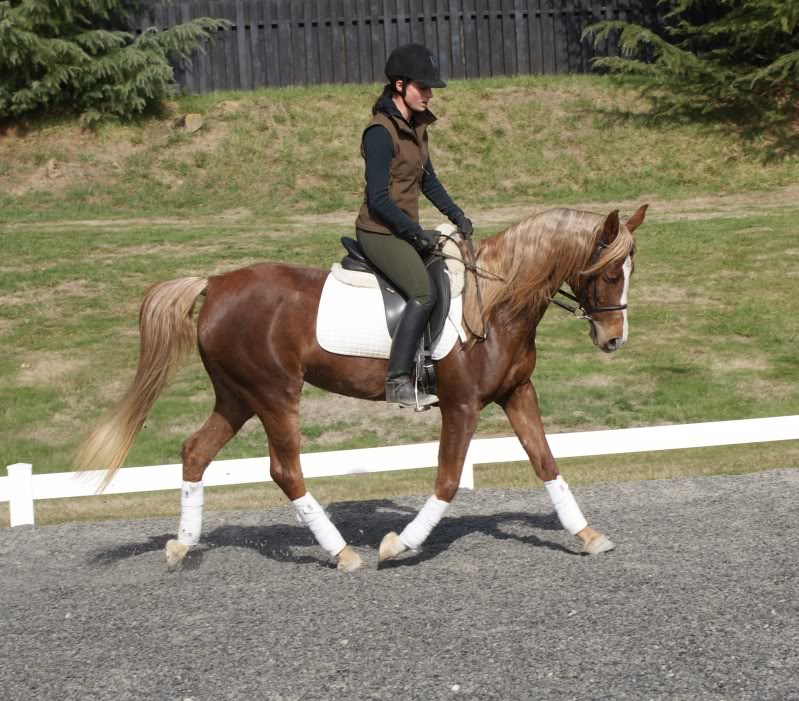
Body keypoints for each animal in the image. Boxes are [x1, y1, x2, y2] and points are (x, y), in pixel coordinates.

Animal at [77, 205, 647, 572]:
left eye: (629, 270)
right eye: (608, 272)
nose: (614, 340)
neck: (496, 303)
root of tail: (214, 285)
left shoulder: (517, 392)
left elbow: (546, 462)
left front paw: (587, 535)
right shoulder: (461, 405)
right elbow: (447, 481)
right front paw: (399, 545)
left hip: (237, 395)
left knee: (196, 451)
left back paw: (181, 547)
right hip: (274, 394)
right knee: (284, 469)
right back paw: (342, 553)